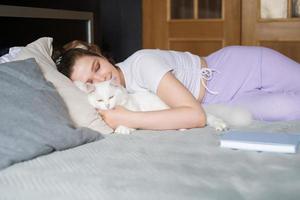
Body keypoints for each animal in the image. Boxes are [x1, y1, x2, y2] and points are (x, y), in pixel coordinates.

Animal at [74, 79, 252, 134]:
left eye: (111, 97)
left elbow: (127, 122)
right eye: (100, 100)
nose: (107, 105)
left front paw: (122, 129)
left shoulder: (133, 112)